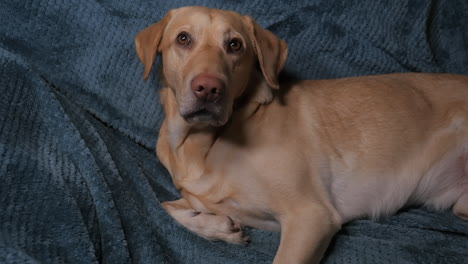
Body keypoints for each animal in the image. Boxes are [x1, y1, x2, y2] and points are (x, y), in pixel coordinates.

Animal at [135, 6, 468, 264]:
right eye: (183, 38)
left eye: (234, 45)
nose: (208, 88)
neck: (202, 143)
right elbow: (163, 204)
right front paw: (215, 226)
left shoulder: (310, 217)